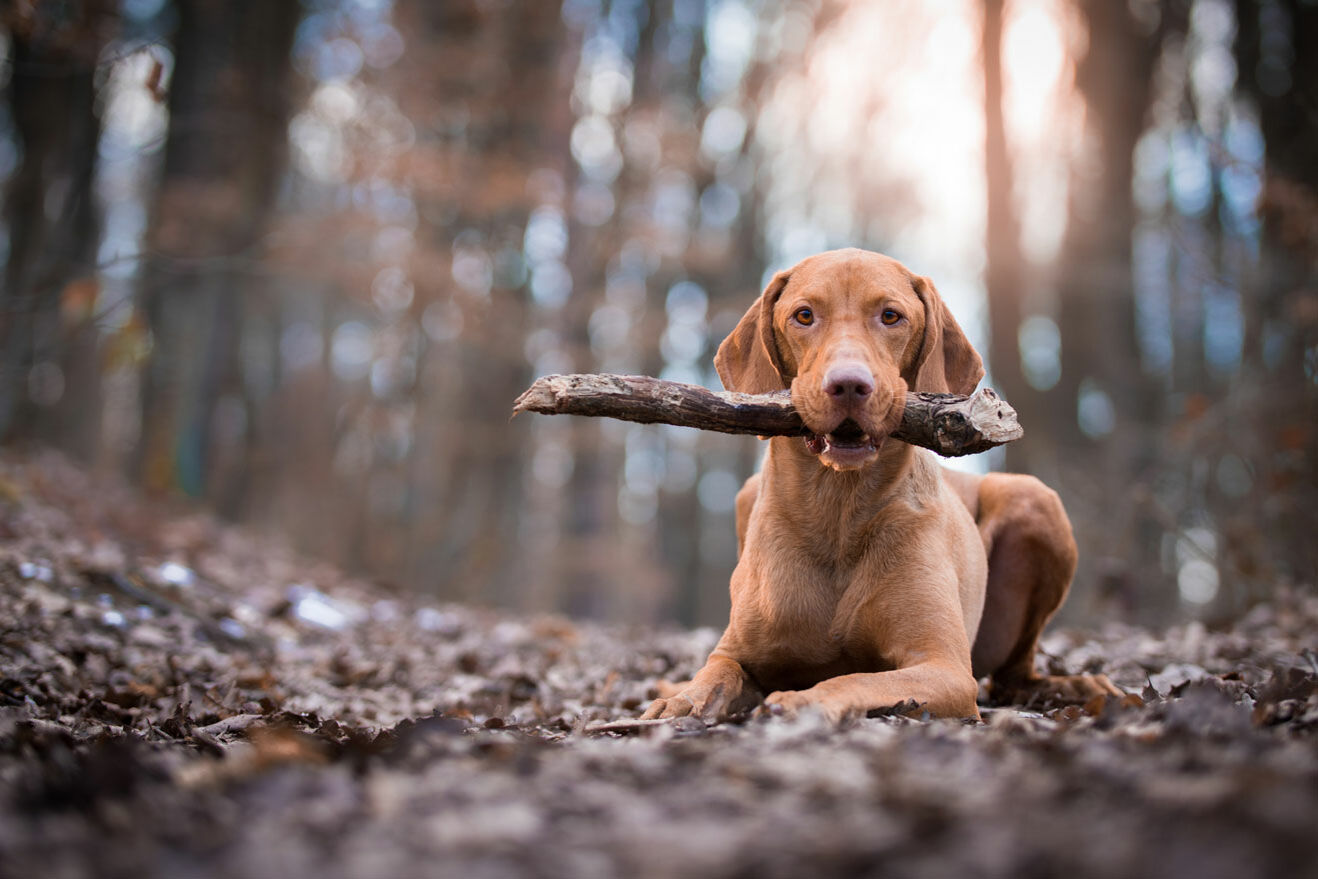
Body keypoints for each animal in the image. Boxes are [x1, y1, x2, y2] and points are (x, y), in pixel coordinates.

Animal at [643, 247, 1117, 722]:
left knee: (1015, 675)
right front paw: (678, 701)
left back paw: (1080, 685)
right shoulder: (737, 651)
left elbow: (851, 679)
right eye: (804, 315)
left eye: (891, 316)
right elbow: (715, 673)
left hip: (1035, 499)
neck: (838, 508)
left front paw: (801, 700)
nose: (849, 384)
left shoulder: (943, 666)